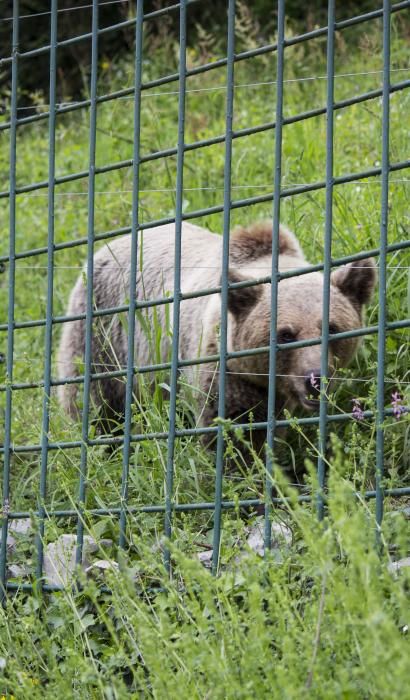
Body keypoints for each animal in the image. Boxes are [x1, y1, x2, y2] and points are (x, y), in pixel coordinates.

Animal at [56, 219, 376, 442]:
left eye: (332, 328)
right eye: (286, 334)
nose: (316, 379)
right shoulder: (220, 366)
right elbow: (234, 427)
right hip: (105, 332)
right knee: (96, 400)